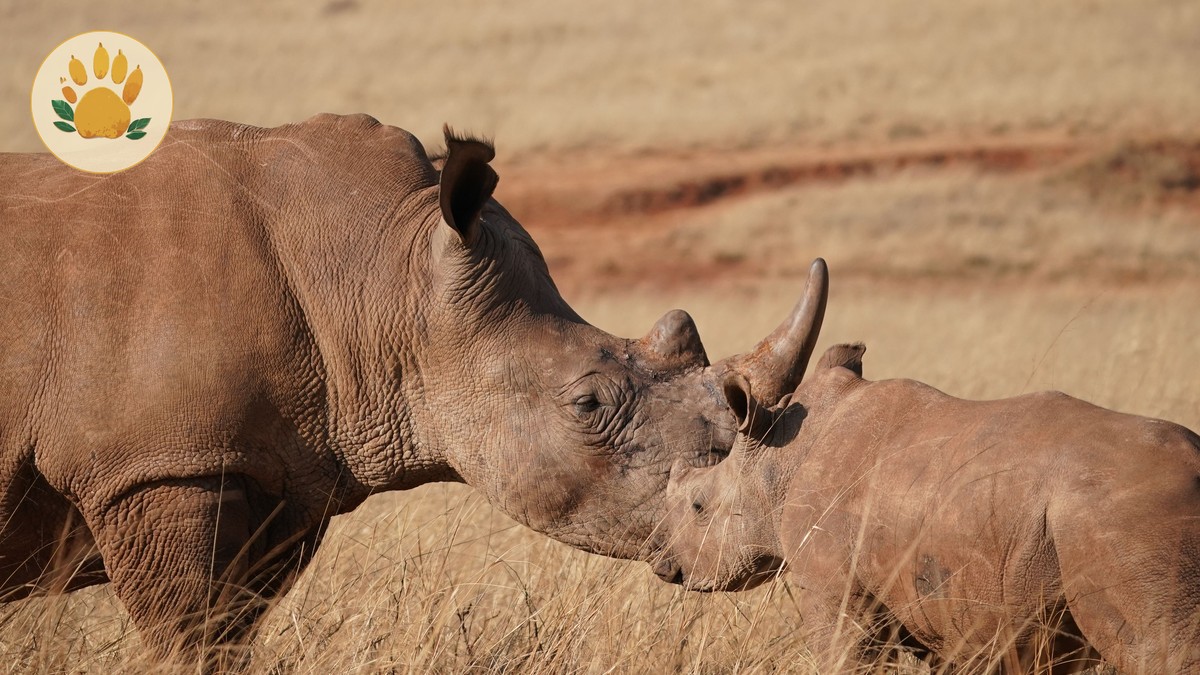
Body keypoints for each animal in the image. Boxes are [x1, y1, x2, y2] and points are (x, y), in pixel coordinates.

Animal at [0, 114, 821, 662]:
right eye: (588, 404)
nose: (755, 527)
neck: (381, 272)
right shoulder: (157, 465)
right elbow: (192, 638)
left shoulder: (275, 470)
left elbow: (231, 628)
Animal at [658, 336, 1200, 672]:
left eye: (699, 506)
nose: (667, 569)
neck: (779, 459)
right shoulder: (940, 605)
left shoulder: (834, 589)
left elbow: (844, 657)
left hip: (1123, 519)